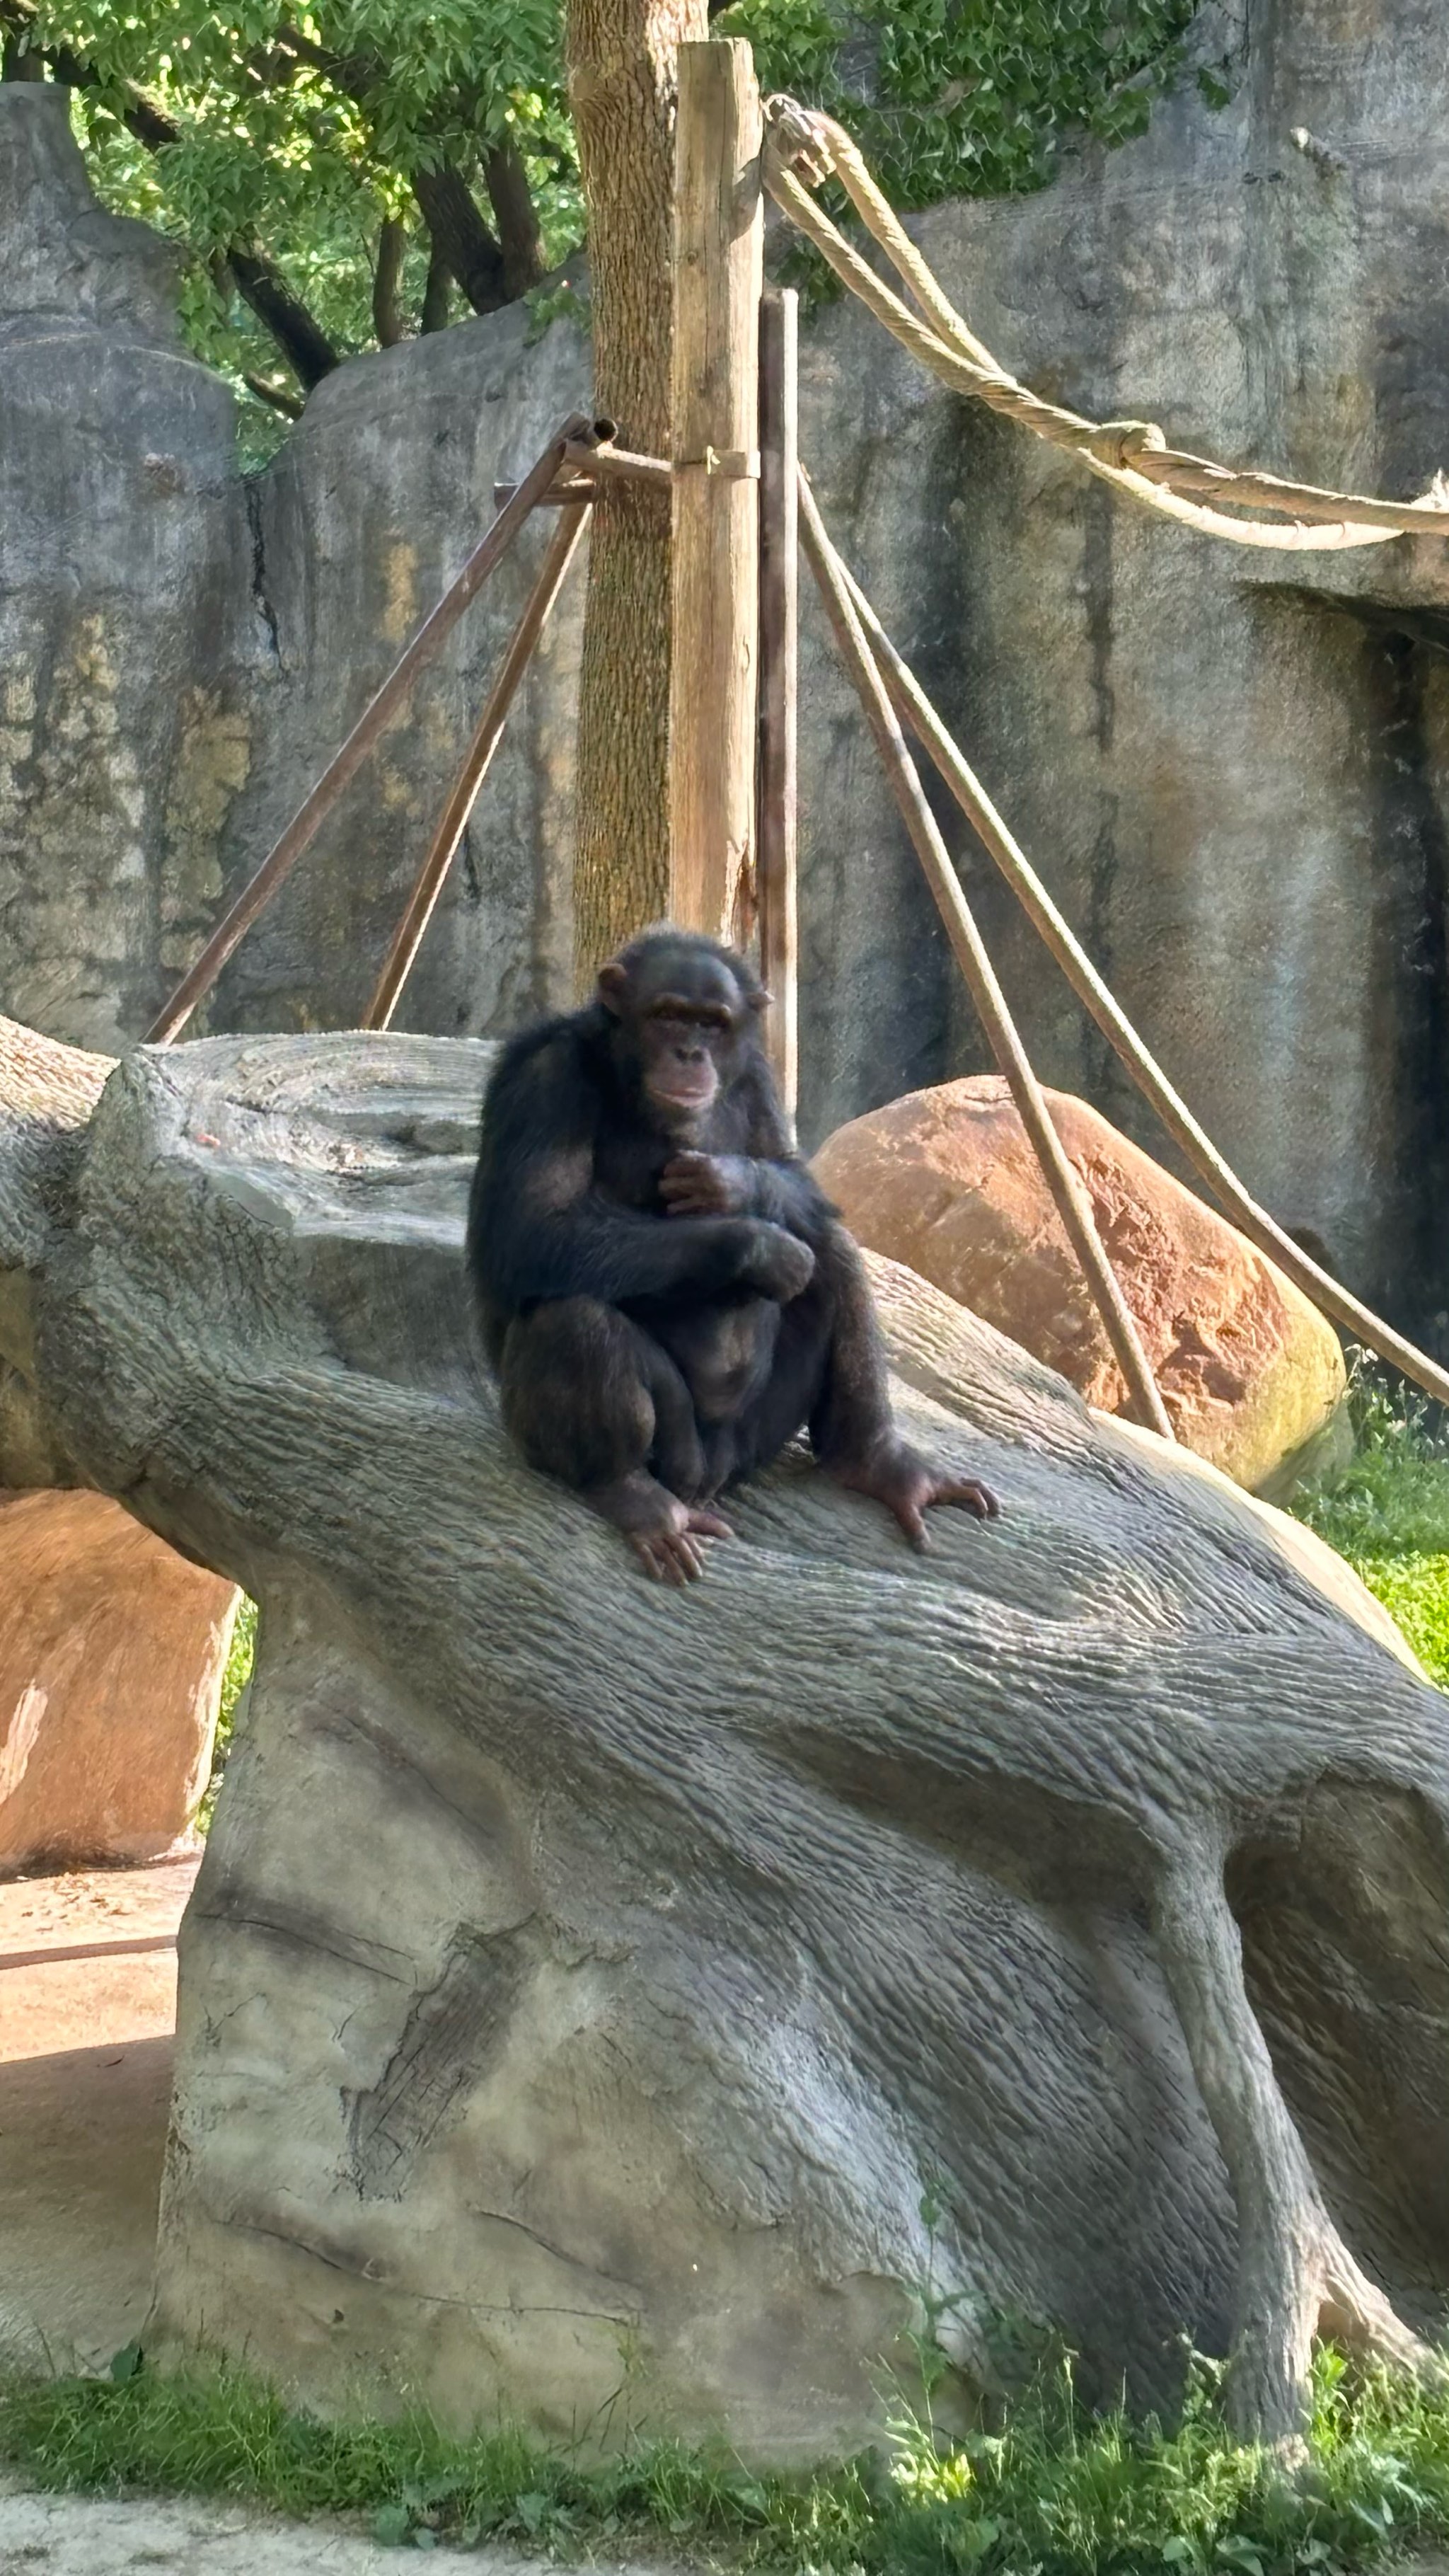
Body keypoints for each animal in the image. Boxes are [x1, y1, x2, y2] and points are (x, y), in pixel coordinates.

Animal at [471, 927, 1003, 1566]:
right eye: (668, 1016)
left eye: (712, 1023)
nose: (689, 1054)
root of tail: (709, 1476)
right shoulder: (546, 1079)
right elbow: (535, 1229)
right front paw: (759, 1249)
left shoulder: (755, 1072)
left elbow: (794, 1173)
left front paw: (731, 1183)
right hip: (673, 1454)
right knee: (572, 1319)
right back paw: (632, 1495)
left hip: (757, 1438)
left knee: (833, 1250)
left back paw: (880, 1463)